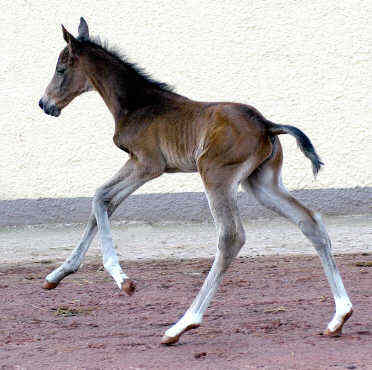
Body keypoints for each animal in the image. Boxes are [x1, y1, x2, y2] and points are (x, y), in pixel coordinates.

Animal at [39, 18, 354, 346]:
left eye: (61, 68)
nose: (44, 104)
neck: (139, 104)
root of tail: (267, 124)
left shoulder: (148, 164)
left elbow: (100, 197)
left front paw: (122, 279)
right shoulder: (142, 165)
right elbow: (105, 203)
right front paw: (57, 275)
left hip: (215, 174)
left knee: (231, 236)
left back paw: (182, 325)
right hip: (261, 183)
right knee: (310, 221)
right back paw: (339, 317)